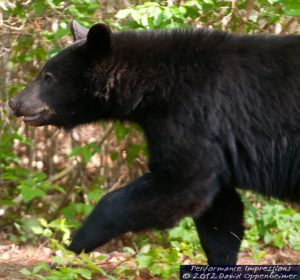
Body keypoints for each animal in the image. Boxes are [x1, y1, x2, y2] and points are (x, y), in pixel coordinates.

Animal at [9, 20, 300, 264]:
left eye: (48, 76)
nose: (14, 102)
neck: (156, 85)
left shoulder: (194, 115)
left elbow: (180, 185)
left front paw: (75, 243)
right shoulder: (212, 143)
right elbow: (220, 213)